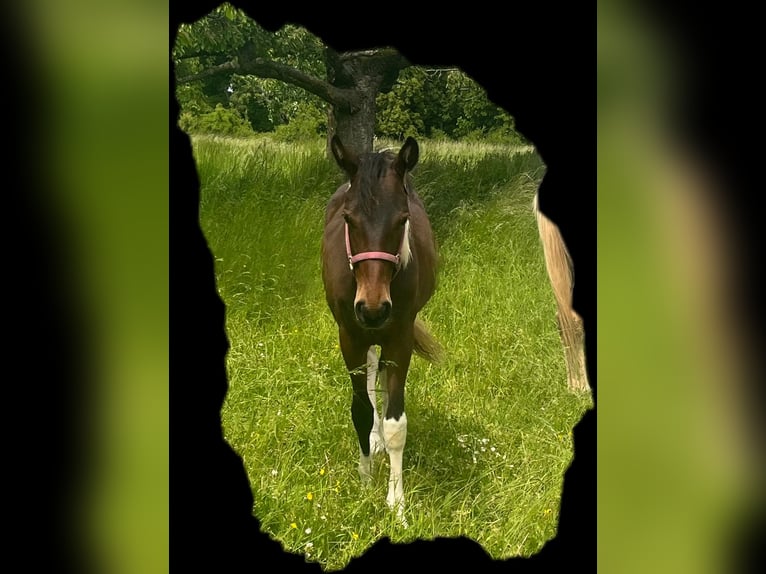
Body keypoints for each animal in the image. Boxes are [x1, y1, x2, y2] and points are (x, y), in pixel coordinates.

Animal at [321, 135, 442, 526]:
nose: (372, 309)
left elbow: (396, 424)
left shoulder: (399, 337)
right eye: (349, 218)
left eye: (402, 220)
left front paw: (397, 505)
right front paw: (364, 481)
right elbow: (360, 411)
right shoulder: (350, 337)